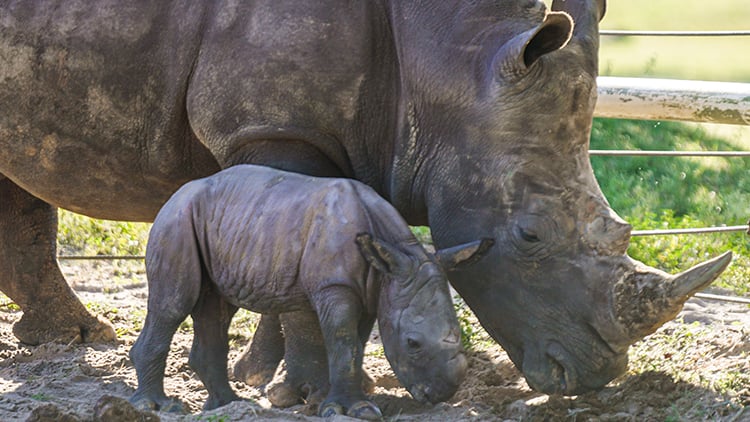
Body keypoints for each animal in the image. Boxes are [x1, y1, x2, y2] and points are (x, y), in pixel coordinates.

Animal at [130, 164, 490, 418]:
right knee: (173, 303)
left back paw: (228, 405)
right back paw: (158, 407)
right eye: (413, 343)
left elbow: (355, 346)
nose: (442, 394)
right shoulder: (336, 286)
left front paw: (340, 403)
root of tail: (174, 195)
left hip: (228, 224)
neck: (398, 256)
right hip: (176, 221)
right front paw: (352, 410)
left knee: (216, 308)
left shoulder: (374, 290)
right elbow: (343, 342)